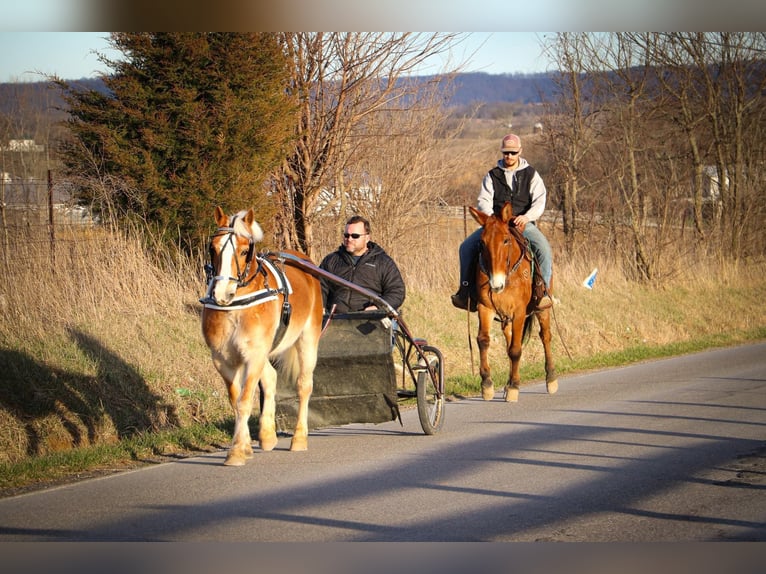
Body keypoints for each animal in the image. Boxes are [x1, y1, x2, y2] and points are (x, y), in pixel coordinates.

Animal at [201, 207, 324, 468]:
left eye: (244, 250)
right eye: (213, 248)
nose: (221, 294)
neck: (237, 305)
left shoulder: (254, 354)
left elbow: (245, 400)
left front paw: (237, 451)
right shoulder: (223, 359)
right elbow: (235, 400)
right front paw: (246, 445)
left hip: (307, 339)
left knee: (304, 386)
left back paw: (299, 438)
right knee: (271, 378)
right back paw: (267, 435)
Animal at [468, 205, 560, 402]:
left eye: (505, 240)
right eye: (482, 243)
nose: (496, 284)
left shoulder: (519, 312)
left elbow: (516, 349)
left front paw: (514, 388)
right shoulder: (485, 308)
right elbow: (484, 341)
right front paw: (487, 384)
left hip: (542, 310)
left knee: (545, 337)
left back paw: (550, 379)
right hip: (506, 318)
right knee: (509, 340)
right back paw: (509, 381)